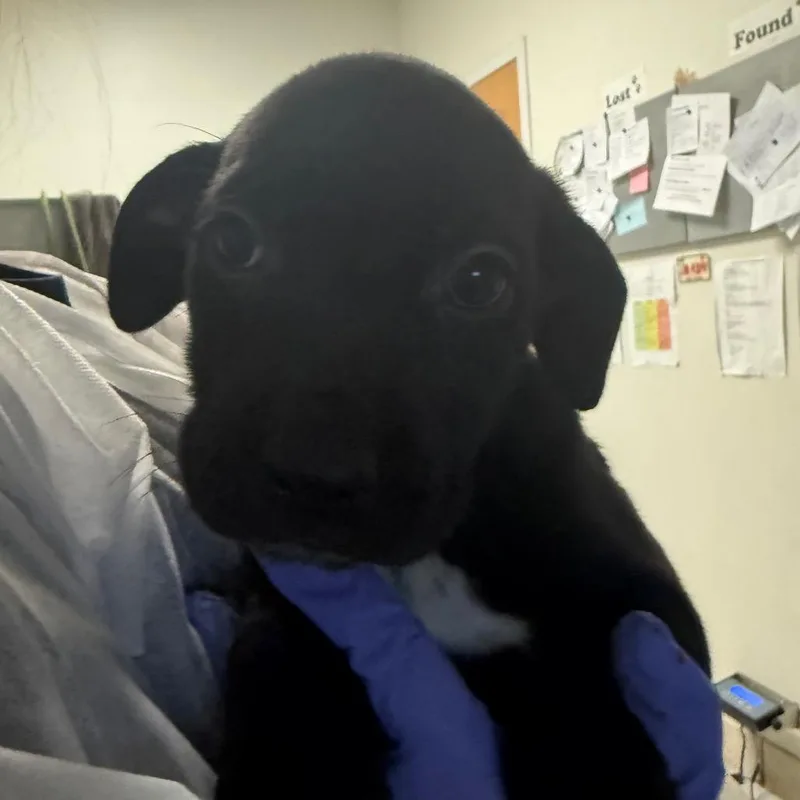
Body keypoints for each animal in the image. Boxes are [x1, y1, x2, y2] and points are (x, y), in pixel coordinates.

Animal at [107, 53, 709, 799]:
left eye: (480, 282)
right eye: (232, 242)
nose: (314, 475)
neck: (432, 559)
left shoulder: (648, 614)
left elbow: (592, 725)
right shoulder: (283, 606)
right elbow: (278, 673)